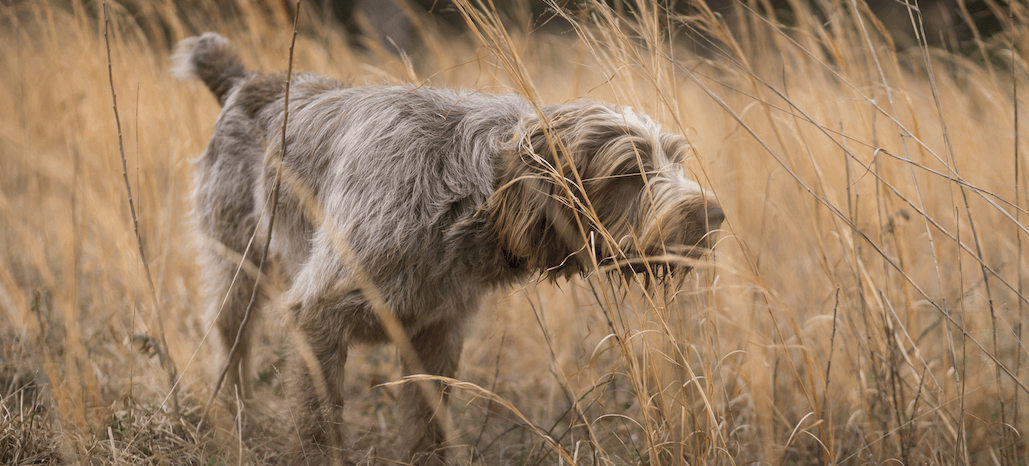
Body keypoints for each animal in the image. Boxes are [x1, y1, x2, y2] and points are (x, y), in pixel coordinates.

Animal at [172, 30, 724, 462]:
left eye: (675, 160)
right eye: (629, 170)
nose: (715, 216)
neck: (461, 197)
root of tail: (247, 81)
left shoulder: (437, 333)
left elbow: (427, 429)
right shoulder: (318, 313)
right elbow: (317, 428)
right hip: (235, 271)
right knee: (232, 349)